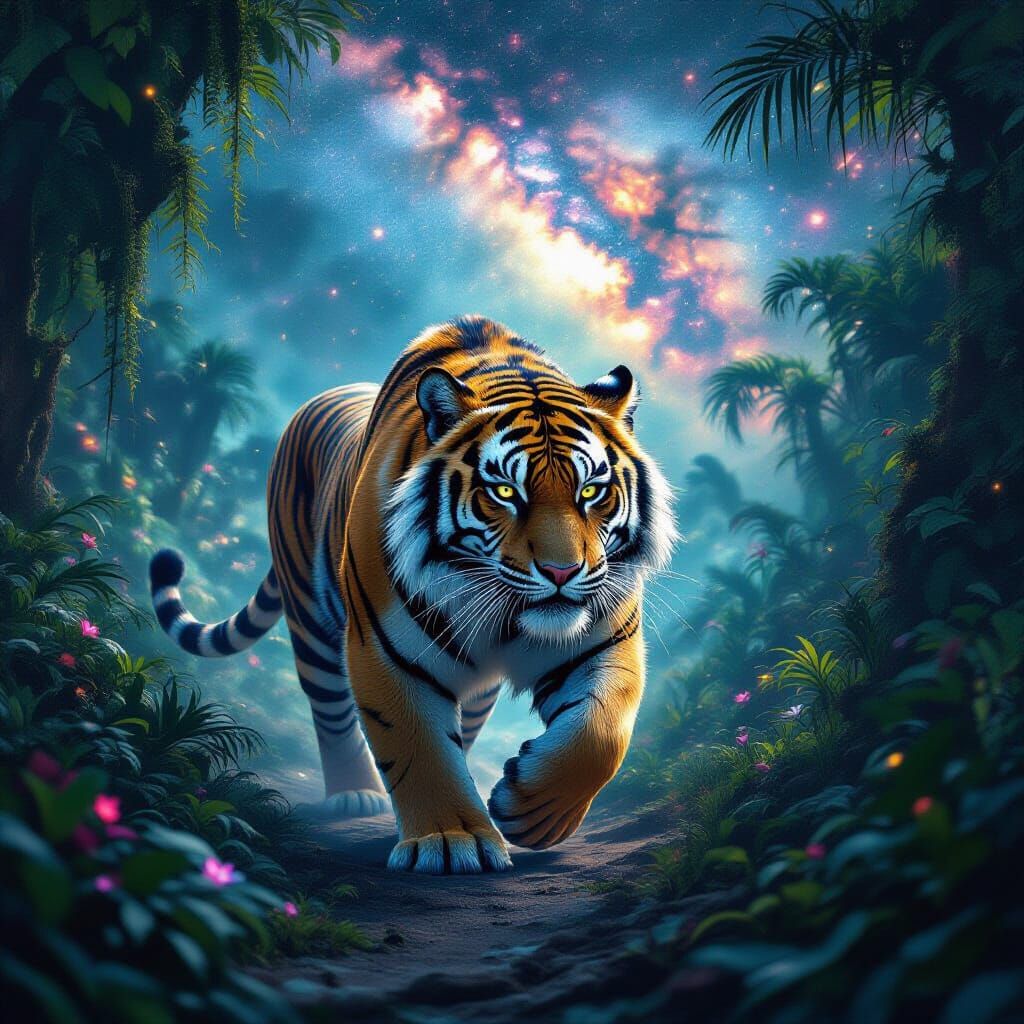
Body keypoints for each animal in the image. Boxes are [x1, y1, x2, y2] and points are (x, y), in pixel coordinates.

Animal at [149, 316, 677, 873]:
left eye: (591, 491)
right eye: (505, 493)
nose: (562, 571)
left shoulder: (606, 640)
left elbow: (600, 734)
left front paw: (532, 813)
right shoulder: (387, 650)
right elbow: (417, 746)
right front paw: (449, 841)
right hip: (311, 622)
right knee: (330, 711)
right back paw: (354, 795)